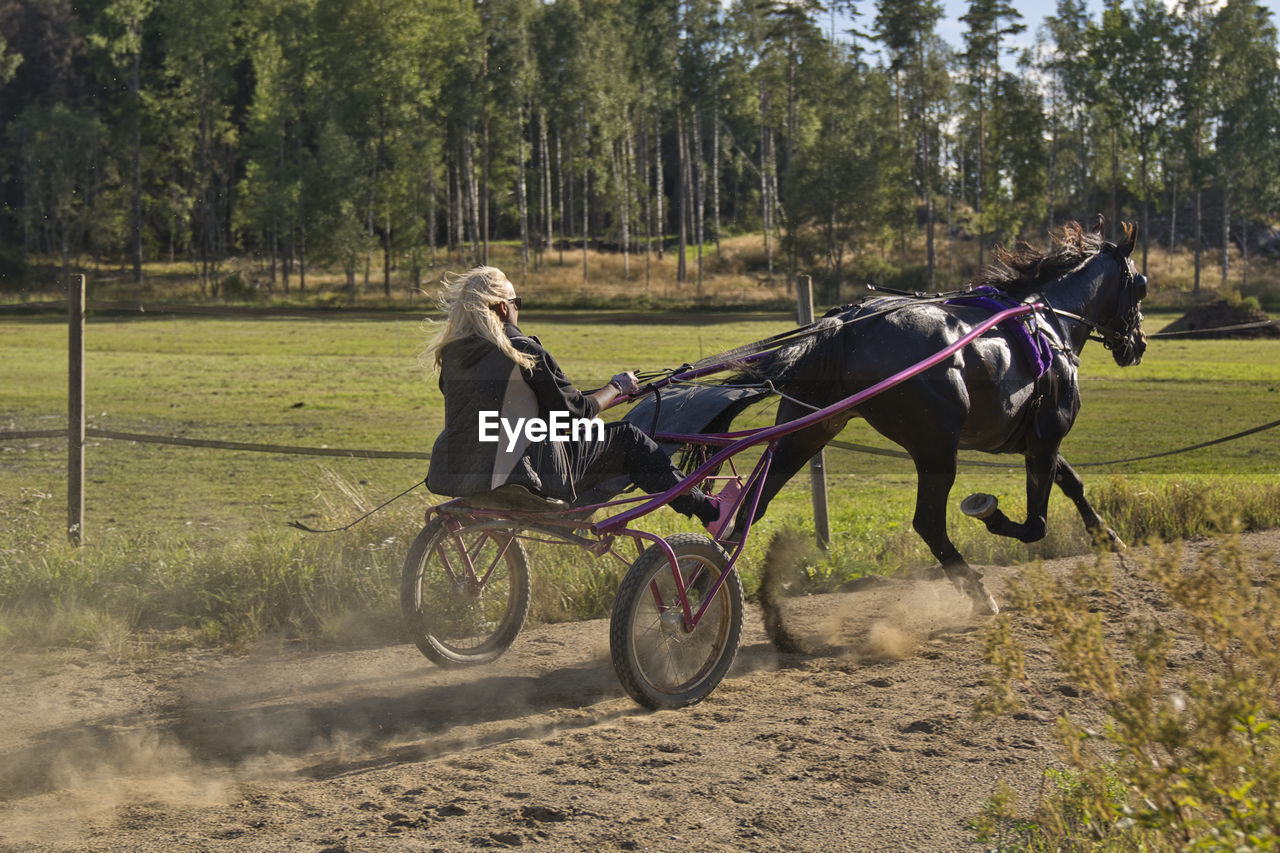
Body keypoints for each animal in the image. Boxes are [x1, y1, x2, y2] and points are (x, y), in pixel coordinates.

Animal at [732, 219, 1152, 612]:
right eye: (1141, 284)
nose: (1139, 344)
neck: (1048, 321)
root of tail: (847, 327)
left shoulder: (1034, 440)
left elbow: (1074, 484)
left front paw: (1109, 537)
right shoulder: (1047, 436)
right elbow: (1036, 525)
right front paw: (992, 516)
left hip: (807, 430)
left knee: (755, 502)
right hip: (936, 448)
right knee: (929, 523)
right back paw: (979, 594)